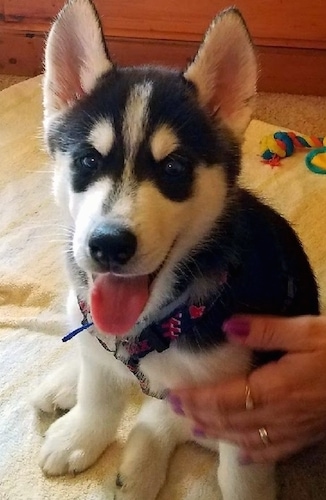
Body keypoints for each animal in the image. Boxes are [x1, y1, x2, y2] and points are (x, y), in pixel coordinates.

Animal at [33, 0, 318, 500]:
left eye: (174, 168)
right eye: (88, 160)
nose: (108, 245)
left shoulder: (240, 410)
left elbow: (238, 476)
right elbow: (99, 392)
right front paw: (81, 434)